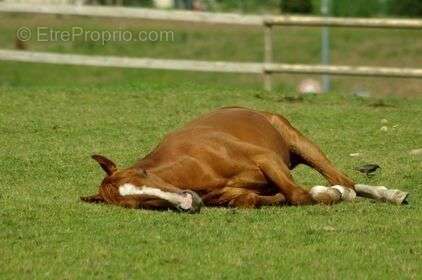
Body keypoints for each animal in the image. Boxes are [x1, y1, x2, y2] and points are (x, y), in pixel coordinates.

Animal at [81, 107, 408, 212]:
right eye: (138, 202)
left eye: (144, 175)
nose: (187, 201)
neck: (200, 167)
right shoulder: (238, 195)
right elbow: (261, 199)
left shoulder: (266, 159)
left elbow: (299, 195)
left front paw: (328, 194)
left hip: (300, 143)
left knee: (347, 182)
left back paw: (386, 193)